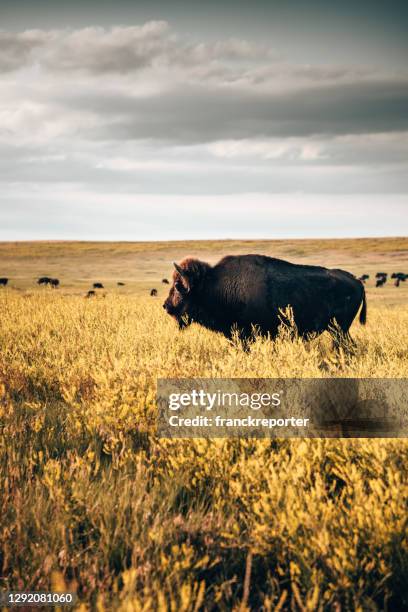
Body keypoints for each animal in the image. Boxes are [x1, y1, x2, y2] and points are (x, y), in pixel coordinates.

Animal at [163, 253, 366, 346]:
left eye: (178, 285)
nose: (166, 306)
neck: (212, 285)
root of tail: (356, 280)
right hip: (338, 330)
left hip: (339, 329)